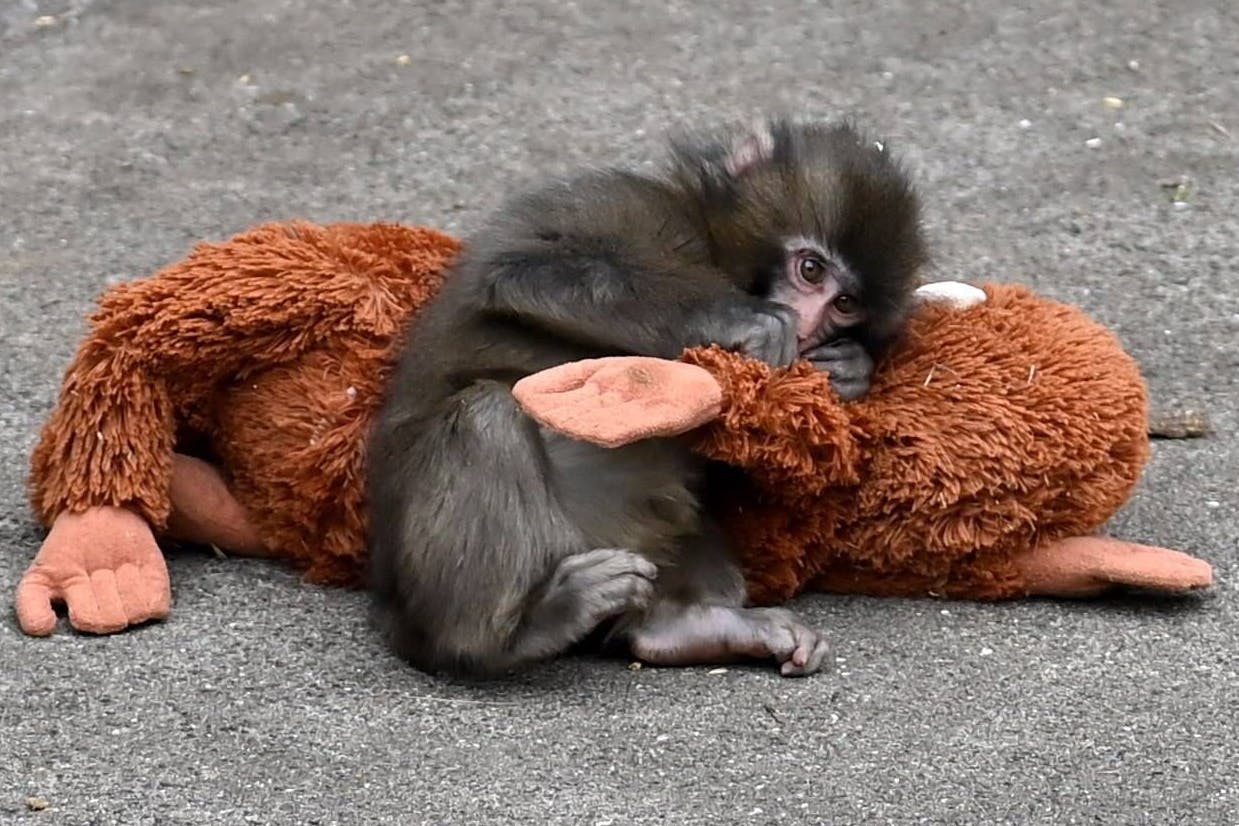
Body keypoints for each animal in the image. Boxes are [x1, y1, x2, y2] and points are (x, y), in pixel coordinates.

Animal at [366, 118, 928, 679]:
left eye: (845, 304)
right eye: (810, 270)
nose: (810, 328)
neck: (706, 243)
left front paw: (851, 369)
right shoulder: (621, 203)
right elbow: (523, 271)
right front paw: (744, 318)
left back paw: (684, 628)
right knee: (485, 416)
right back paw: (507, 634)